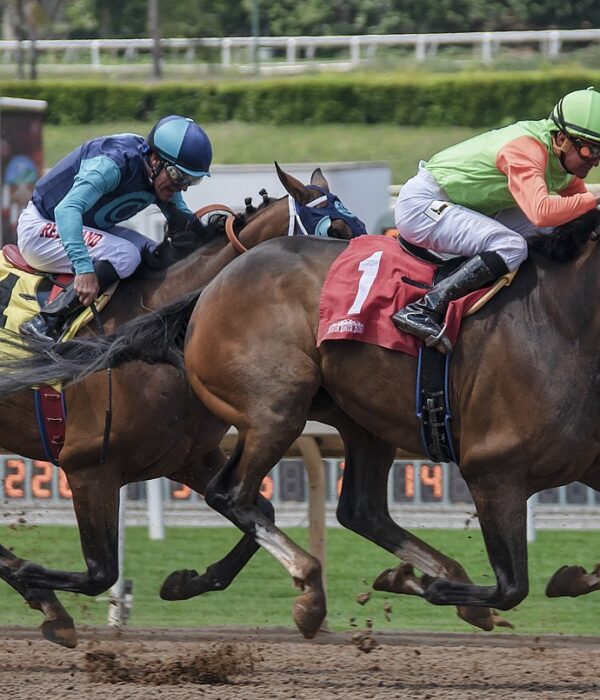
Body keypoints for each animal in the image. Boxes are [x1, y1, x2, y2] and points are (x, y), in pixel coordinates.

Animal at [0, 163, 364, 644]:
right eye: (337, 229)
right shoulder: (88, 467)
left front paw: (185, 582)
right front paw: (40, 592)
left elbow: (256, 507)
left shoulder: (185, 456)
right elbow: (100, 573)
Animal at [62, 205, 600, 636]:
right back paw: (310, 589)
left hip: (363, 420)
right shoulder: (494, 470)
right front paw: (423, 585)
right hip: (277, 407)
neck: (559, 320)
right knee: (232, 493)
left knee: (359, 510)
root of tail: (210, 287)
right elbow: (511, 587)